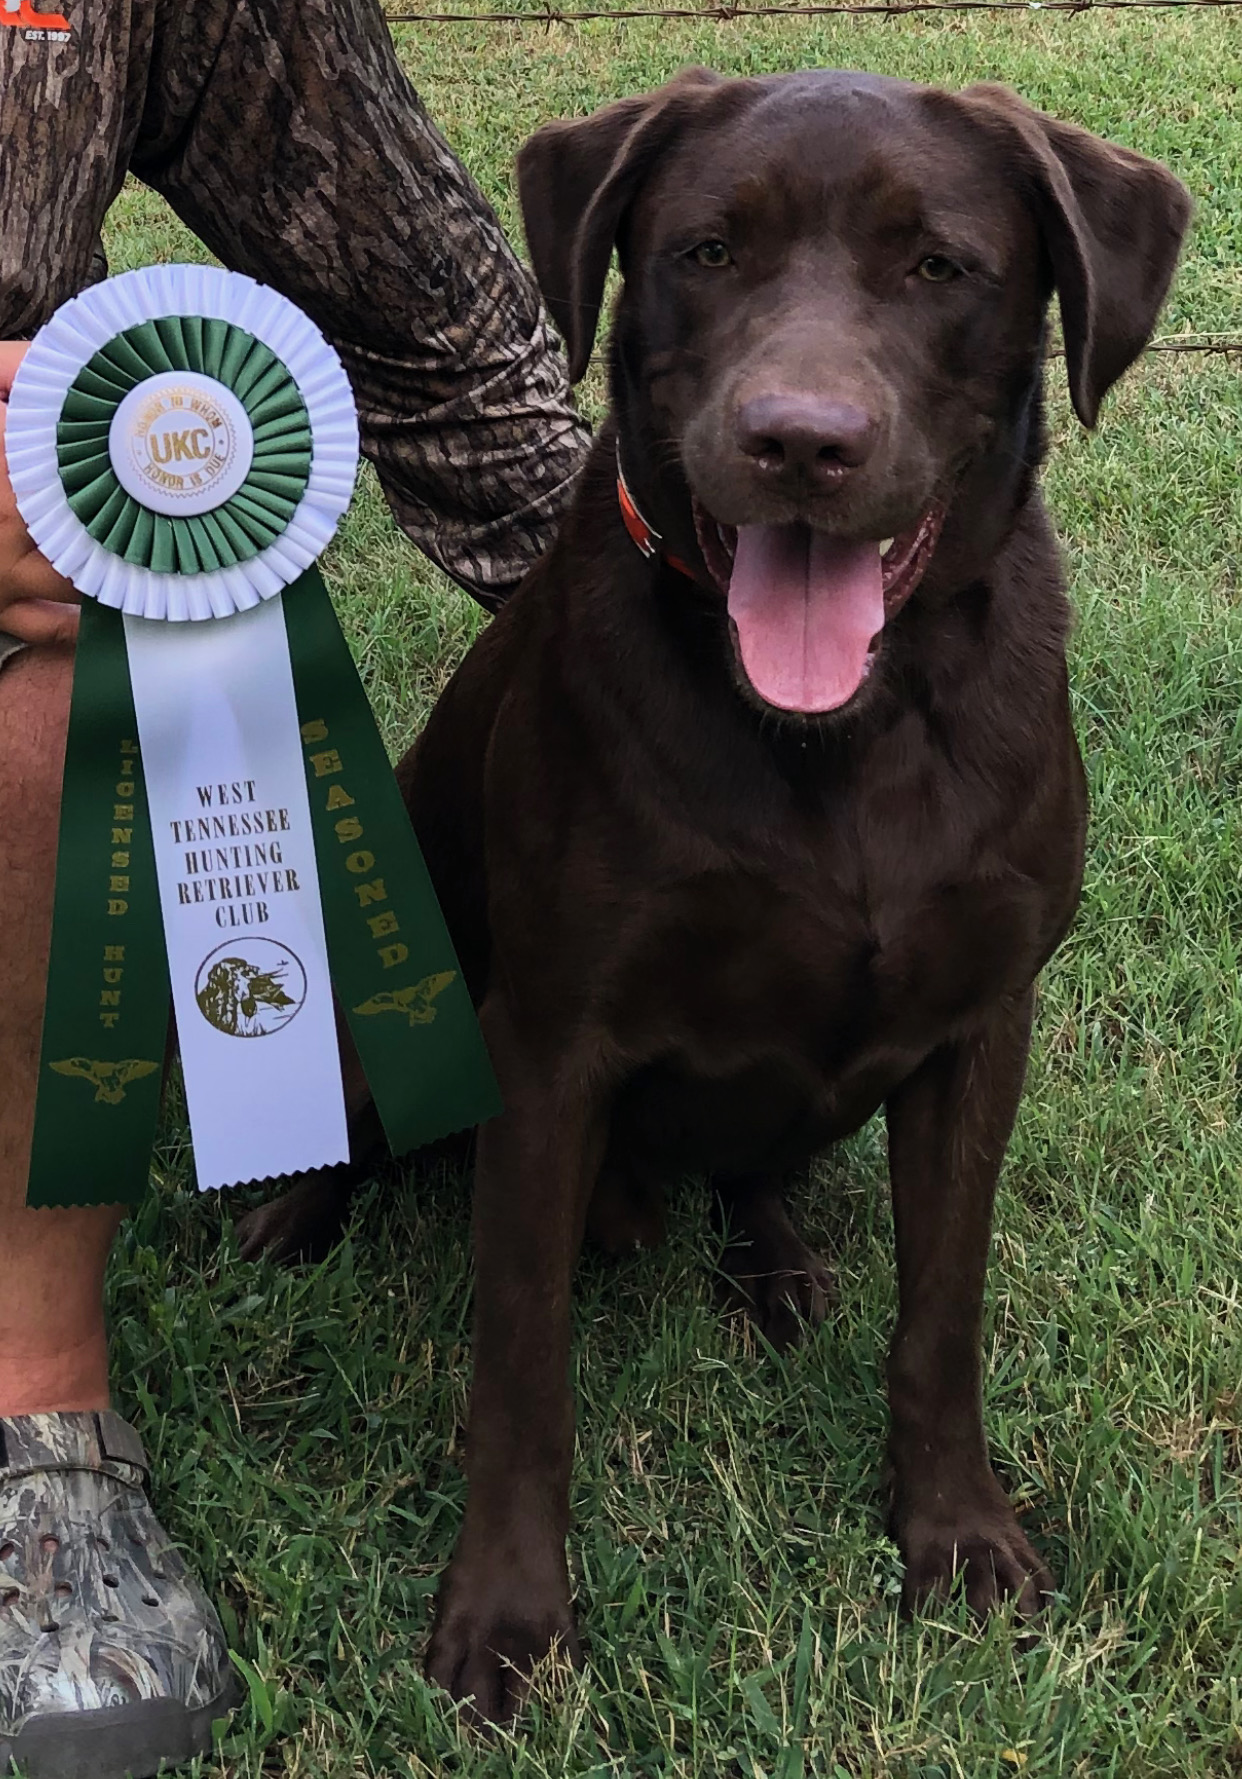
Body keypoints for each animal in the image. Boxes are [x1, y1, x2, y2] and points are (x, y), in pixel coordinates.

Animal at [240, 69, 1181, 1722]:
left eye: (937, 265)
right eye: (704, 251)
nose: (799, 441)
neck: (839, 733)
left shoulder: (979, 1028)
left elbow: (942, 1315)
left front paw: (954, 1533)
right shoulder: (547, 1049)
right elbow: (521, 1361)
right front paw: (507, 1611)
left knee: (756, 1166)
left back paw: (777, 1259)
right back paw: (292, 1222)